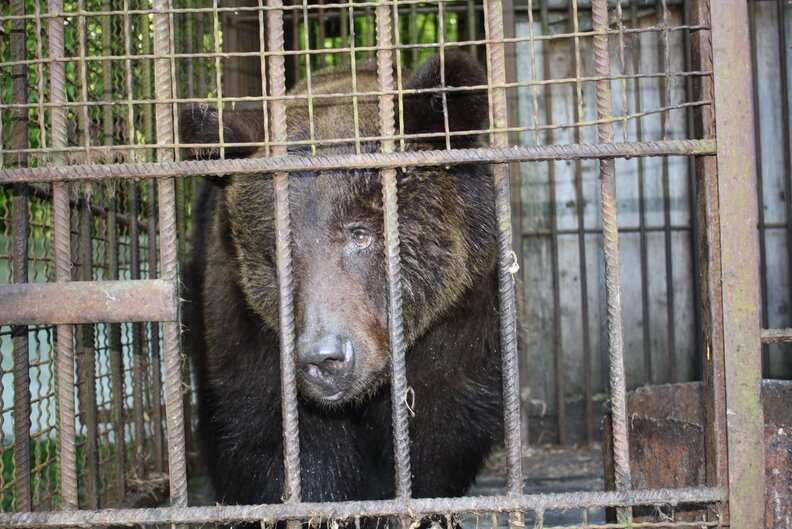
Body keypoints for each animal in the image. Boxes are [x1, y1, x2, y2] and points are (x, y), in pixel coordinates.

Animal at [180, 52, 504, 516]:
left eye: (360, 233)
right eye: (276, 248)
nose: (324, 357)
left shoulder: (460, 329)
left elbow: (436, 445)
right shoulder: (253, 343)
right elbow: (288, 453)